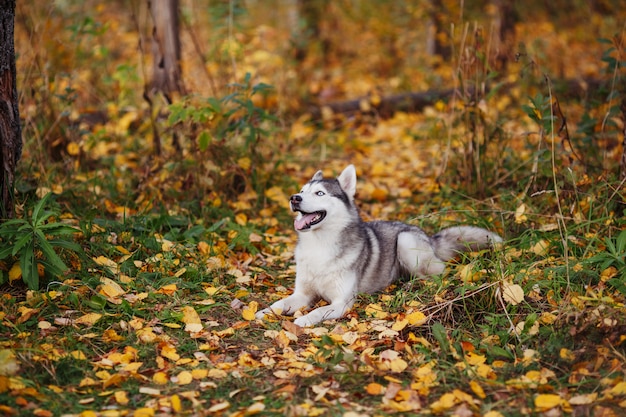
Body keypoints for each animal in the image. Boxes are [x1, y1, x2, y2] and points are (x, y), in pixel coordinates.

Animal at [255, 164, 502, 326]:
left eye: (319, 193)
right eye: (302, 191)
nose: (294, 198)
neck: (320, 246)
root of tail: (428, 236)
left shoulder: (341, 303)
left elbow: (319, 311)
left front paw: (304, 319)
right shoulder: (303, 294)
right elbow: (281, 302)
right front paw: (263, 311)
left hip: (406, 241)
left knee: (438, 274)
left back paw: (409, 285)